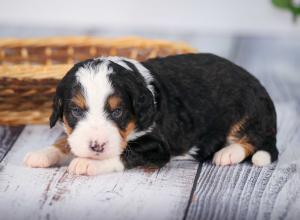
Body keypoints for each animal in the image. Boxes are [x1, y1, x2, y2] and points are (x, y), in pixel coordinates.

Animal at [23, 54, 278, 176]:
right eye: (75, 110)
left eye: (118, 111)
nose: (96, 146)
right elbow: (66, 140)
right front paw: (43, 154)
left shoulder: (157, 145)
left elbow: (126, 152)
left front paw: (88, 163)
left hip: (248, 111)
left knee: (257, 141)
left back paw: (228, 153)